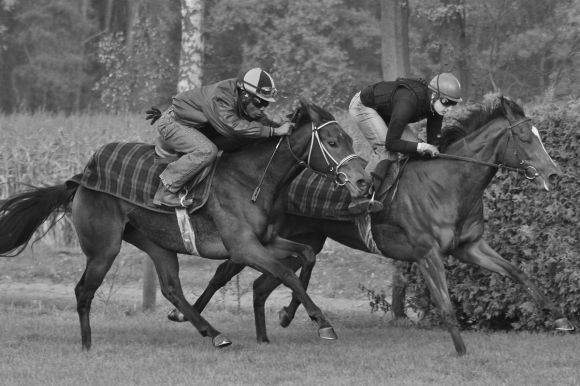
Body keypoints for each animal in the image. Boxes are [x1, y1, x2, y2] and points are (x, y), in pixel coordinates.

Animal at [0, 101, 372, 348]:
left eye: (351, 140)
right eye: (333, 142)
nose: (363, 181)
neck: (250, 180)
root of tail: (80, 177)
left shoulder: (266, 241)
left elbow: (306, 255)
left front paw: (290, 314)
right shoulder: (244, 248)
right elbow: (286, 273)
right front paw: (322, 323)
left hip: (156, 243)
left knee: (171, 288)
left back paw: (214, 333)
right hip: (104, 247)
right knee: (83, 290)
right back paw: (87, 344)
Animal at [167, 95, 572, 354]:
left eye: (539, 135)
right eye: (525, 137)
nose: (554, 173)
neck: (449, 183)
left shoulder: (469, 246)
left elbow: (519, 273)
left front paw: (561, 320)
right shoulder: (427, 253)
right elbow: (444, 303)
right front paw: (460, 351)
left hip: (303, 239)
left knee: (263, 284)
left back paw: (275, 325)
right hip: (260, 238)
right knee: (228, 272)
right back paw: (187, 315)